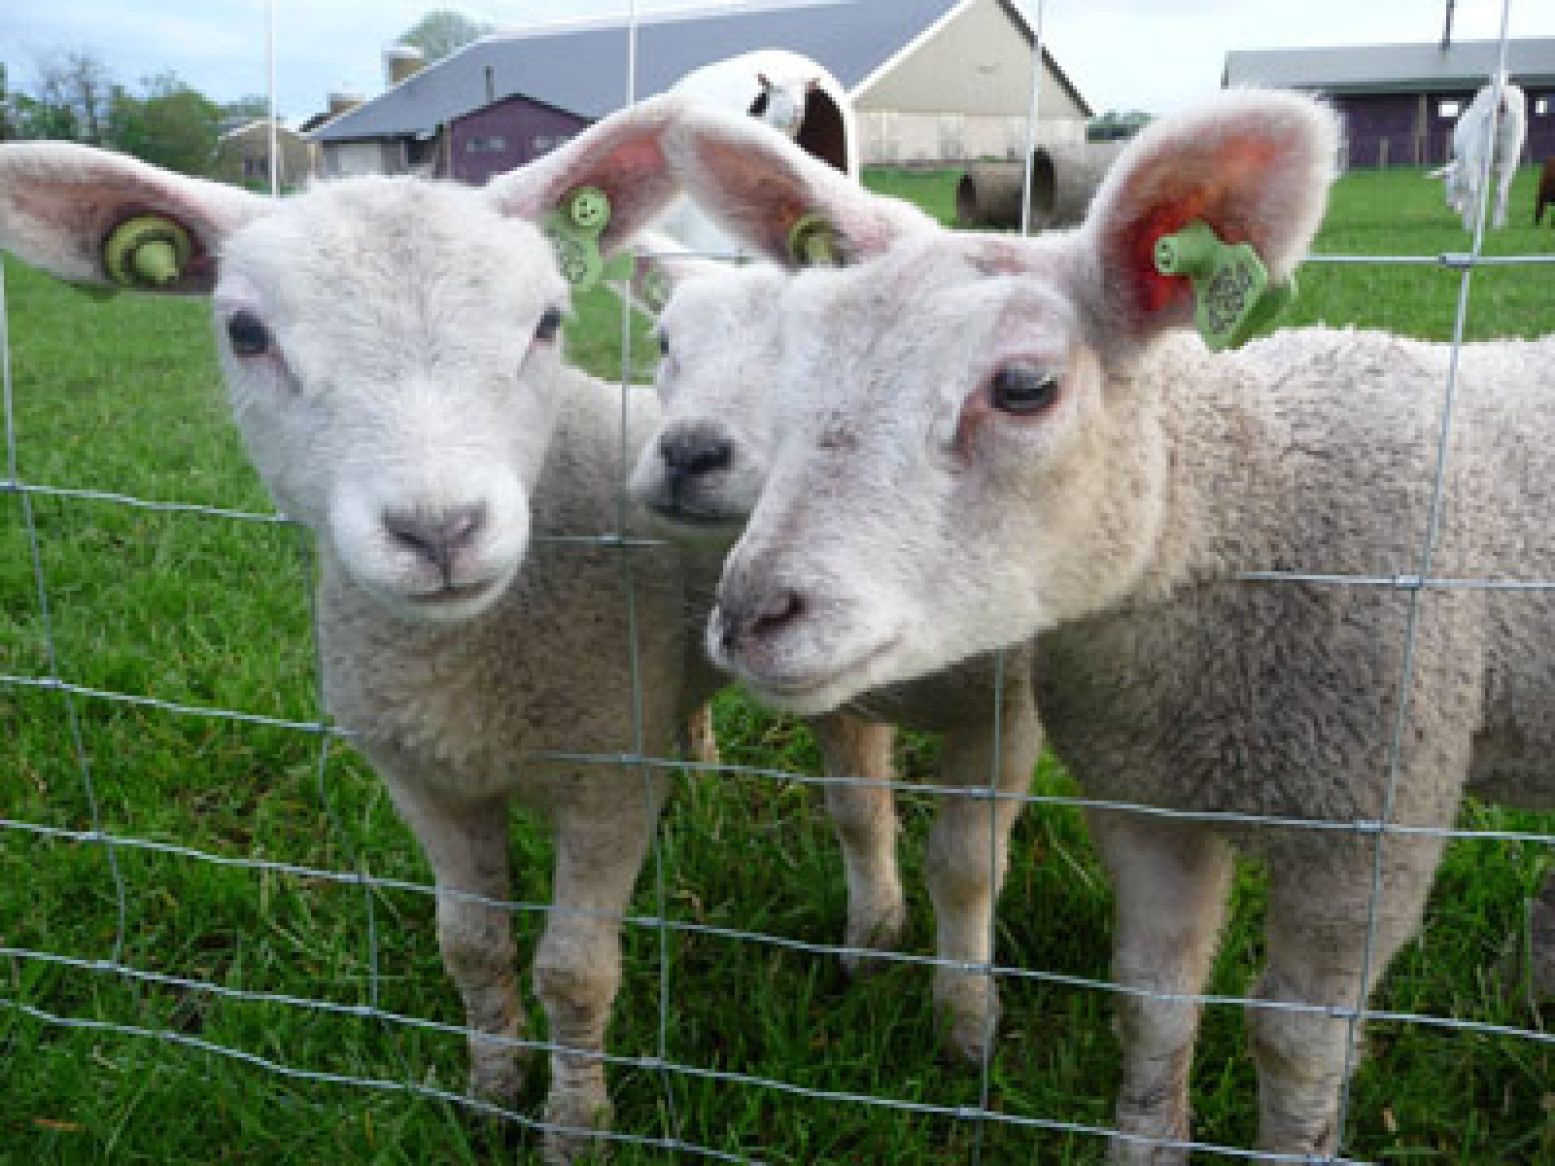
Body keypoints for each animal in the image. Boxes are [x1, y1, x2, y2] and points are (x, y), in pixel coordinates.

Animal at [0, 96, 721, 1162]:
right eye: (246, 332)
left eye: (548, 321)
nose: (440, 531)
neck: (467, 674)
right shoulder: (421, 775)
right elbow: (470, 946)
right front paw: (492, 1094)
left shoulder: (606, 776)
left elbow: (574, 972)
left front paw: (574, 1128)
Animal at [625, 251, 1038, 1063]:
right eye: (663, 342)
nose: (688, 452)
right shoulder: (829, 693)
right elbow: (856, 813)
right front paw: (871, 942)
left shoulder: (1006, 709)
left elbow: (968, 867)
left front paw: (964, 1022)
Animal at [1424, 74, 1523, 230]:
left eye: (1447, 183)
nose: (1450, 206)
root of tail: (1501, 92)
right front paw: (1502, 221)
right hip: (1511, 152)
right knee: (1501, 190)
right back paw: (1496, 227)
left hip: (1477, 153)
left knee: (1474, 189)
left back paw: (1470, 225)